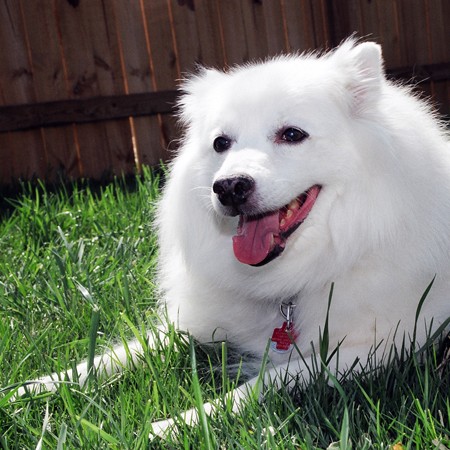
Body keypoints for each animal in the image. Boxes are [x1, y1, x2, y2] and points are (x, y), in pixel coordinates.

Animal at [14, 38, 450, 436]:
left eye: (293, 134)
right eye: (221, 143)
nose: (229, 187)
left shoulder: (378, 348)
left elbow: (259, 384)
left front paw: (178, 423)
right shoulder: (195, 322)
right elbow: (116, 355)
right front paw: (32, 388)